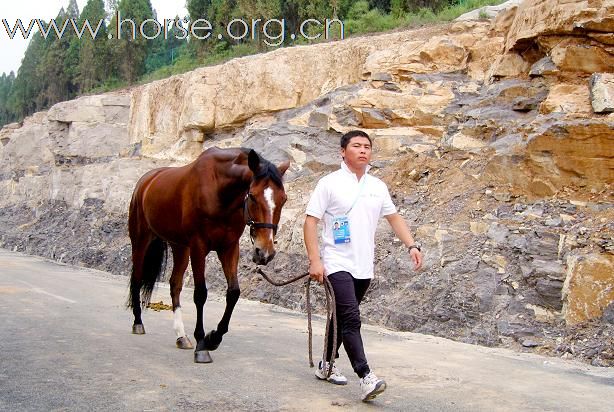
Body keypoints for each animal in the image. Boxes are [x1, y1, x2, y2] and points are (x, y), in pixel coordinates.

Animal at [127, 148, 292, 364]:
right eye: (253, 196)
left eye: (283, 199)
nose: (265, 252)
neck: (219, 191)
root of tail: (146, 181)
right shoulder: (199, 247)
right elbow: (200, 294)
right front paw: (201, 345)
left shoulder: (229, 248)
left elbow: (233, 293)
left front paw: (213, 338)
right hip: (141, 241)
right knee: (137, 279)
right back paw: (138, 322)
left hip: (180, 247)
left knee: (175, 285)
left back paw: (181, 336)